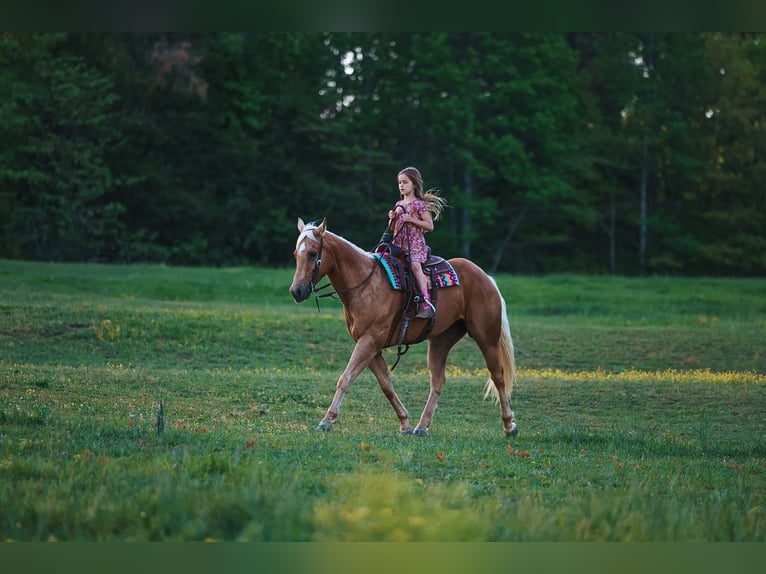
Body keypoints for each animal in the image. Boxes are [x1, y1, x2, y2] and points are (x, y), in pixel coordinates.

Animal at [289, 217, 518, 437]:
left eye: (312, 254)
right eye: (295, 254)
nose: (296, 291)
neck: (365, 283)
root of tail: (486, 278)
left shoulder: (369, 341)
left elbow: (345, 378)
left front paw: (326, 420)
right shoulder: (372, 347)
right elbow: (386, 385)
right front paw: (405, 423)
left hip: (486, 337)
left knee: (498, 376)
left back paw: (509, 426)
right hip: (441, 341)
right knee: (438, 382)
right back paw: (421, 427)